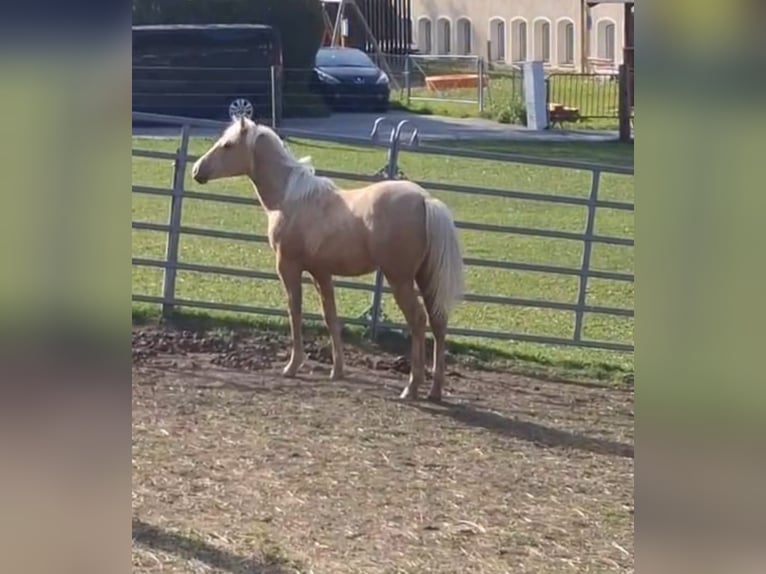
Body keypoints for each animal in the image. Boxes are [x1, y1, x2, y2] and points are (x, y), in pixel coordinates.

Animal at [191, 117, 464, 401]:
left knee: (418, 321)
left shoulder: (288, 267)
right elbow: (330, 316)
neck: (290, 198)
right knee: (438, 321)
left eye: (228, 145)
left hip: (399, 279)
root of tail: (425, 200)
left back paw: (411, 387)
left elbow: (295, 311)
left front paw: (292, 366)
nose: (197, 170)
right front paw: (337, 371)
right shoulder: (321, 273)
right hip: (425, 277)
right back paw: (435, 390)